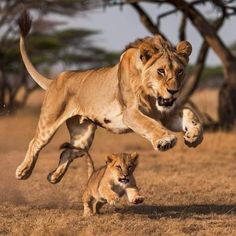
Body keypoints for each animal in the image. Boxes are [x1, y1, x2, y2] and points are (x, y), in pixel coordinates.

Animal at [15, 10, 203, 183]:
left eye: (180, 71)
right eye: (161, 71)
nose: (174, 91)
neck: (152, 96)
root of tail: (56, 79)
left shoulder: (164, 114)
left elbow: (190, 112)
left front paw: (194, 136)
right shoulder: (130, 113)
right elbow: (149, 124)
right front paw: (166, 140)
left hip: (82, 136)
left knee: (67, 152)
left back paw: (54, 176)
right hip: (49, 122)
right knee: (35, 142)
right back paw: (23, 172)